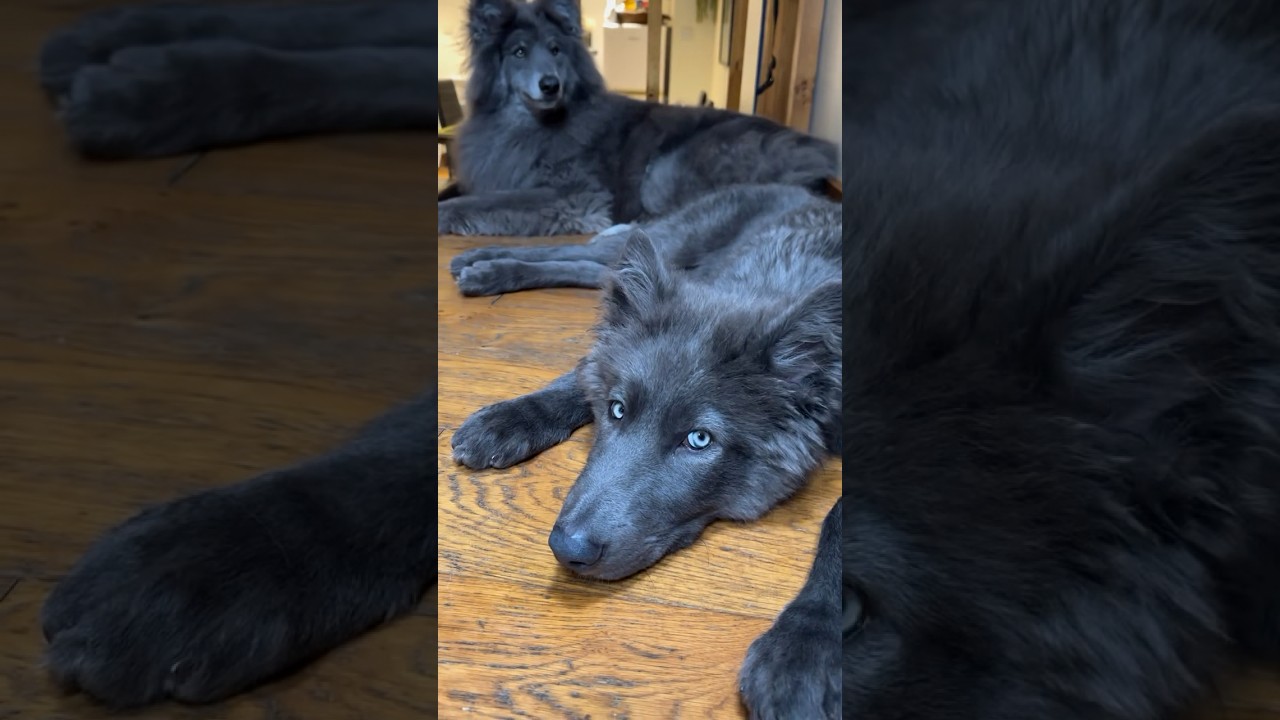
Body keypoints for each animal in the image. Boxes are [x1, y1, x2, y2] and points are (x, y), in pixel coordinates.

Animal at [437, 0, 837, 241]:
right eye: (519, 52)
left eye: (555, 49)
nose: (550, 85)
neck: (528, 126)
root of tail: (815, 152)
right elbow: (459, 190)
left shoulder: (573, 194)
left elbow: (481, 204)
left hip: (665, 172)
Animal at [449, 182, 843, 718]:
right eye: (616, 410)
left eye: (699, 440)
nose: (566, 549)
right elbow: (581, 372)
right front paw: (508, 418)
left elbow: (839, 521)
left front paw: (804, 647)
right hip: (678, 243)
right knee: (595, 255)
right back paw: (483, 263)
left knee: (597, 269)